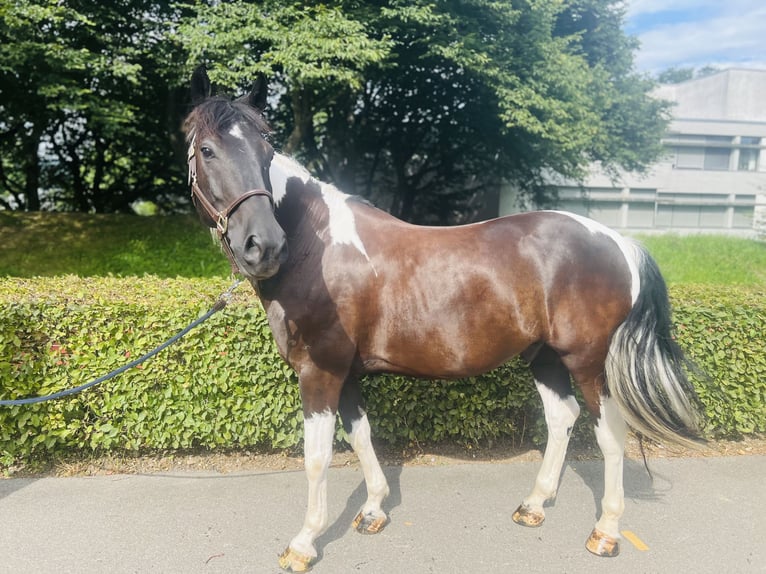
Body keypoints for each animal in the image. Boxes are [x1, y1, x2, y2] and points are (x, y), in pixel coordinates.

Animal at [183, 66, 704, 572]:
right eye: (207, 150)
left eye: (266, 151)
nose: (264, 246)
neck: (318, 248)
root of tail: (618, 241)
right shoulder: (345, 374)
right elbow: (360, 436)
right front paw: (373, 510)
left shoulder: (320, 372)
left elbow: (317, 457)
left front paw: (303, 544)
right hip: (545, 356)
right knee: (562, 417)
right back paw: (534, 505)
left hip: (588, 362)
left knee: (610, 434)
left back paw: (606, 533)